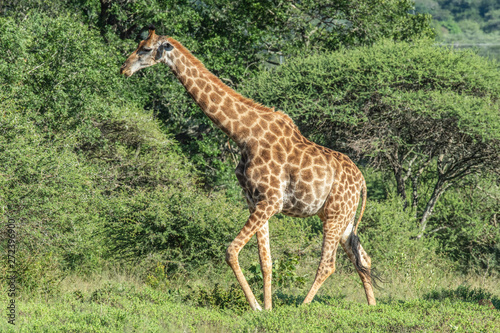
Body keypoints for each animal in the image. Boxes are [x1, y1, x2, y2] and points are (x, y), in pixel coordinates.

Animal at [121, 26, 376, 308]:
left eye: (145, 49)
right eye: (138, 45)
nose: (124, 69)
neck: (244, 135)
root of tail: (363, 182)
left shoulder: (271, 201)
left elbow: (231, 250)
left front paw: (255, 306)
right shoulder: (255, 201)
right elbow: (266, 262)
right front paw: (267, 308)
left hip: (335, 215)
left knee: (328, 265)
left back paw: (303, 307)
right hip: (343, 218)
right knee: (362, 258)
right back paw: (372, 307)